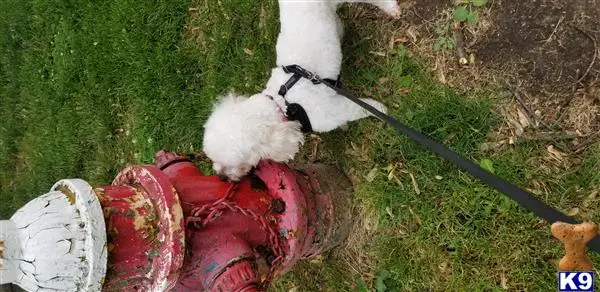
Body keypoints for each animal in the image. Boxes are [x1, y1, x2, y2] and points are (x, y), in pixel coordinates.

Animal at [202, 0, 398, 180]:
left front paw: (381, 110)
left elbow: (362, 108)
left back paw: (392, 9)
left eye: (233, 164)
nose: (220, 176)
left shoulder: (332, 111)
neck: (283, 103)